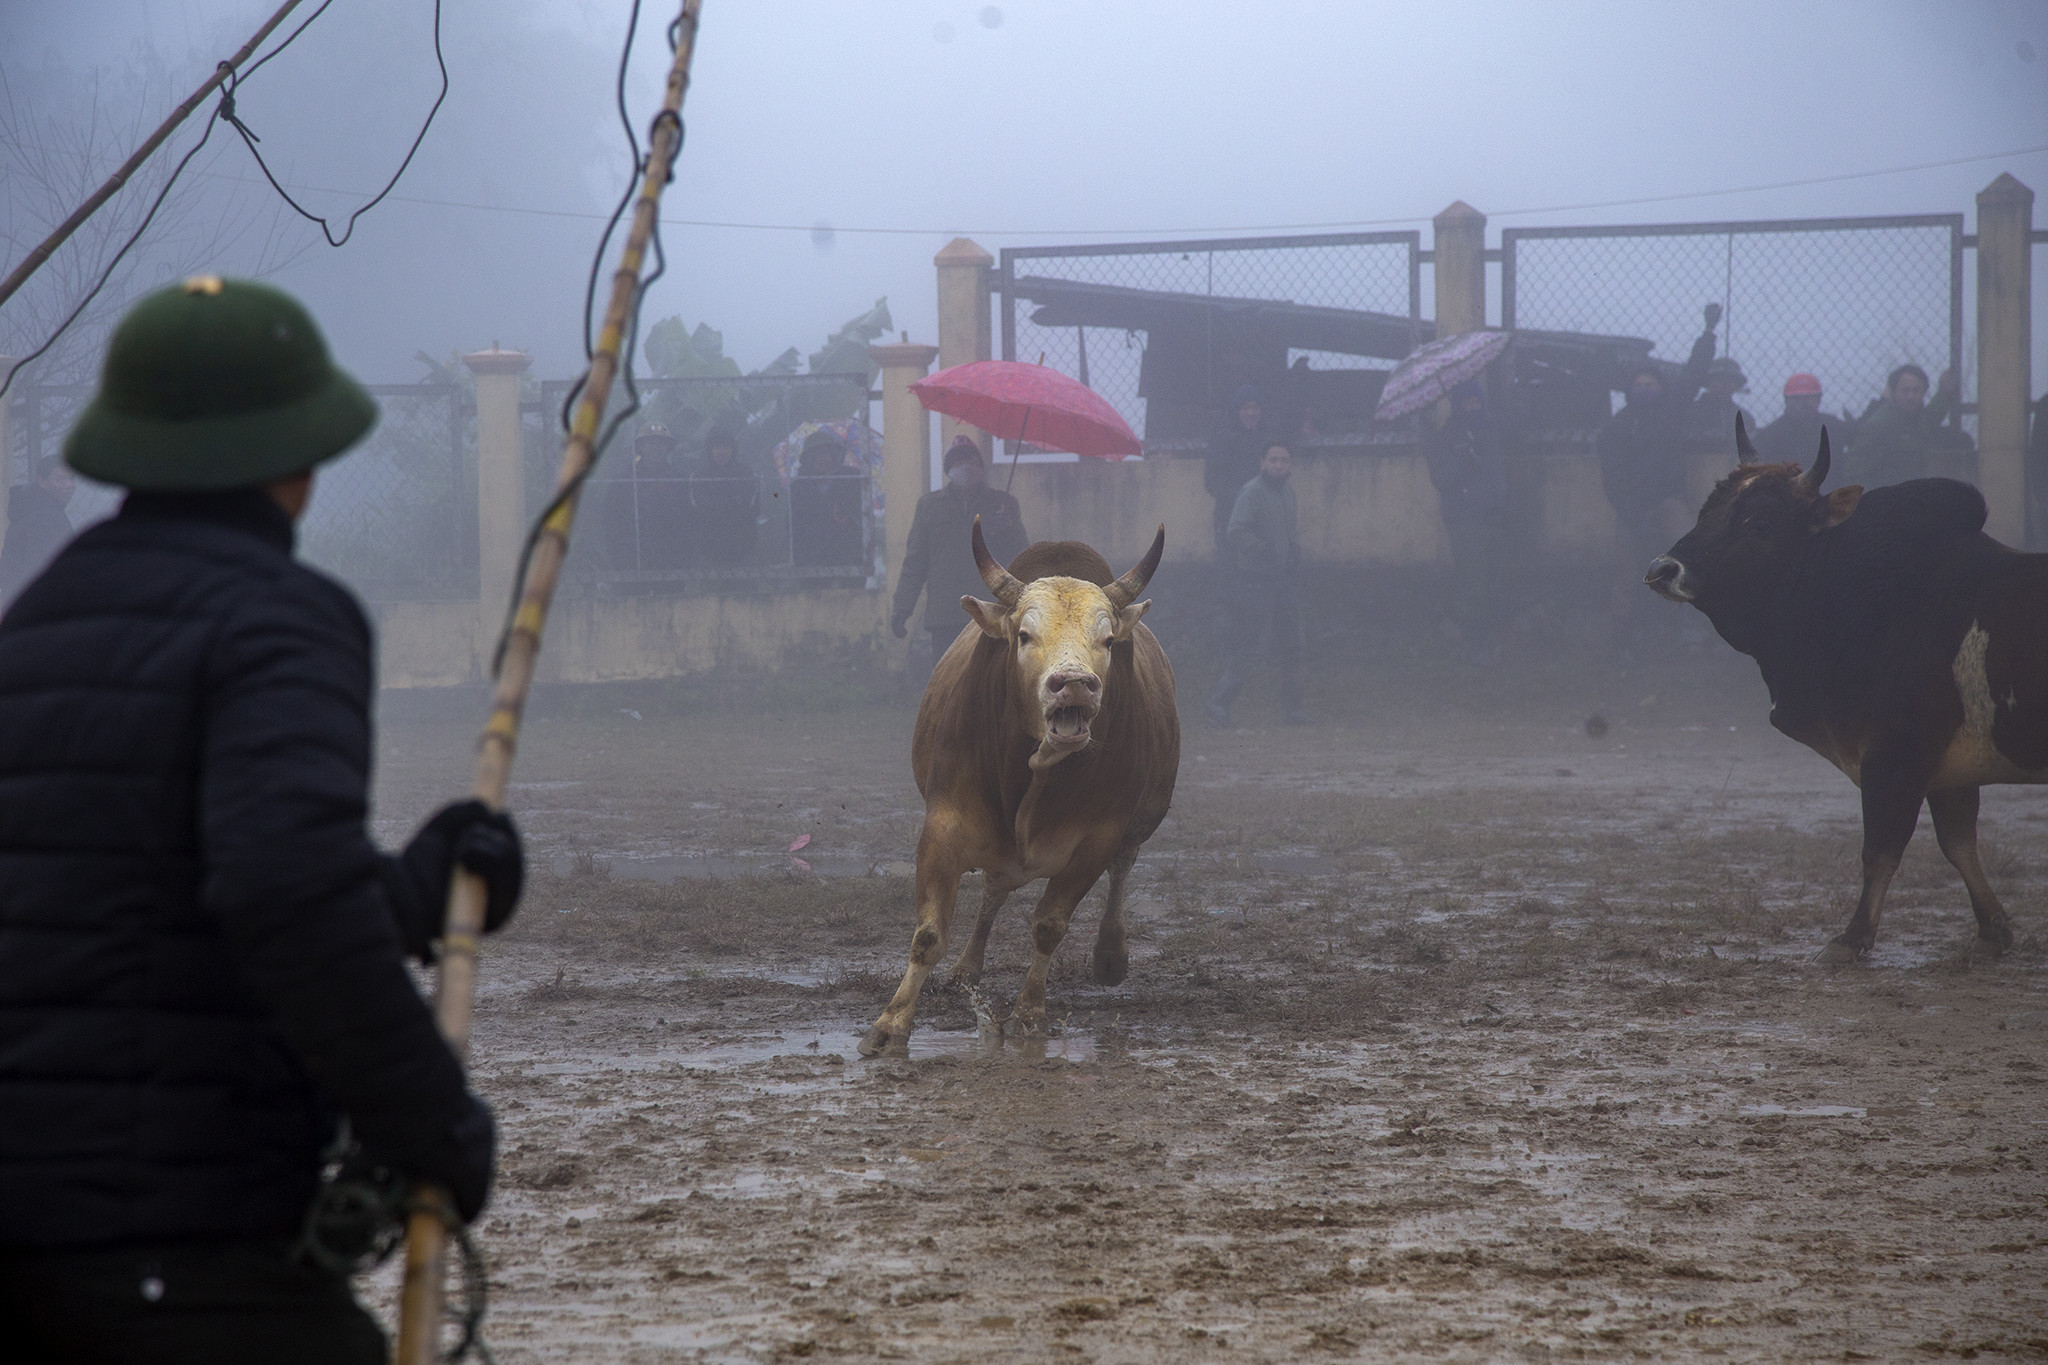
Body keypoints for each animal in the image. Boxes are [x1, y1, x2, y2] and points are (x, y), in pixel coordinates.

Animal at [860, 523, 1187, 1055]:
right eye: (1024, 634)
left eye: (1107, 639)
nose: (1074, 684)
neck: (1034, 774)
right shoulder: (943, 826)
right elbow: (929, 934)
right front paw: (890, 1025)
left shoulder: (1097, 838)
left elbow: (1049, 925)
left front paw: (1030, 1014)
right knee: (993, 891)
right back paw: (967, 968)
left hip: (1142, 821)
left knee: (1122, 867)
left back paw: (1110, 955)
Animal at [1646, 417, 2048, 961]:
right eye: (1710, 510)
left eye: (1759, 524)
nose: (1664, 570)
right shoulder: (1949, 769)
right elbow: (1958, 844)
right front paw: (1993, 929)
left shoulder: (1895, 755)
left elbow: (1880, 850)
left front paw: (1852, 938)